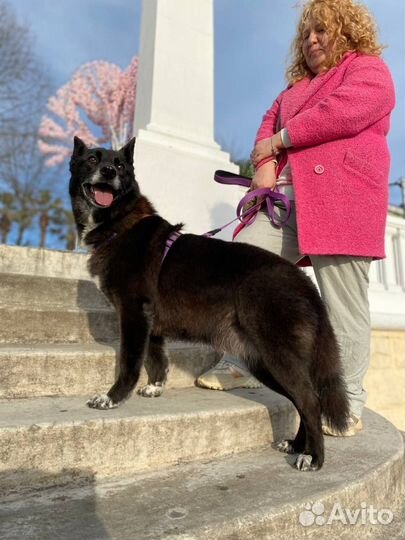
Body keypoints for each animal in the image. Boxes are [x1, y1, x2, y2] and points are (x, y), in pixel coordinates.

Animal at [68, 137, 348, 470]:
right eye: (92, 160)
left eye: (120, 165)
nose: (109, 172)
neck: (121, 222)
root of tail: (304, 283)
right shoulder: (151, 324)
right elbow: (157, 358)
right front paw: (155, 387)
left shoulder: (134, 315)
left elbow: (129, 363)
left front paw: (112, 399)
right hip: (264, 363)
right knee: (302, 402)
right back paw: (295, 445)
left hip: (278, 357)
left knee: (310, 401)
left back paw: (313, 456)